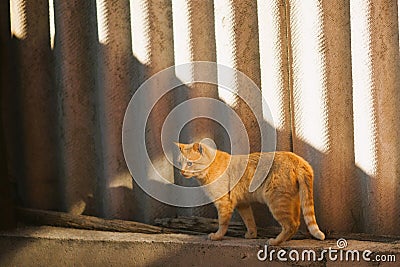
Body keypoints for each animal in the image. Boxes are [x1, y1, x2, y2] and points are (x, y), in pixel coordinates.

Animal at [175, 142, 324, 247]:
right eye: (180, 163)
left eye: (190, 163)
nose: (181, 172)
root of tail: (298, 159)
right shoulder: (243, 204)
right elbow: (249, 220)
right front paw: (252, 235)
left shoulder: (224, 203)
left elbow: (222, 223)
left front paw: (217, 236)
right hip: (292, 201)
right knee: (296, 223)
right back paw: (284, 240)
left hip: (277, 202)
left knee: (290, 225)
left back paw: (275, 242)